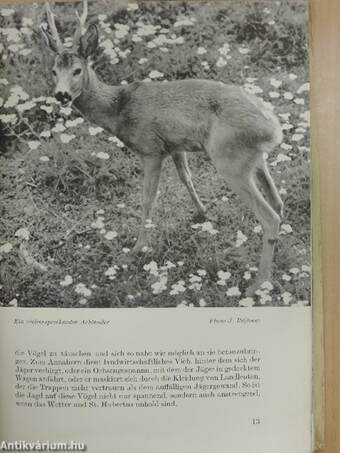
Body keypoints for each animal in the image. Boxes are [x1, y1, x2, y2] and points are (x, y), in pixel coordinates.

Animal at [40, 0, 284, 294]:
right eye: (53, 72)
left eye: (77, 70)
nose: (61, 95)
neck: (118, 109)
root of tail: (273, 128)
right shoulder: (175, 145)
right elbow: (186, 177)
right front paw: (203, 213)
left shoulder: (151, 149)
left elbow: (148, 198)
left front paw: (137, 248)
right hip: (254, 159)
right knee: (278, 202)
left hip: (230, 160)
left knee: (270, 217)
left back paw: (259, 282)